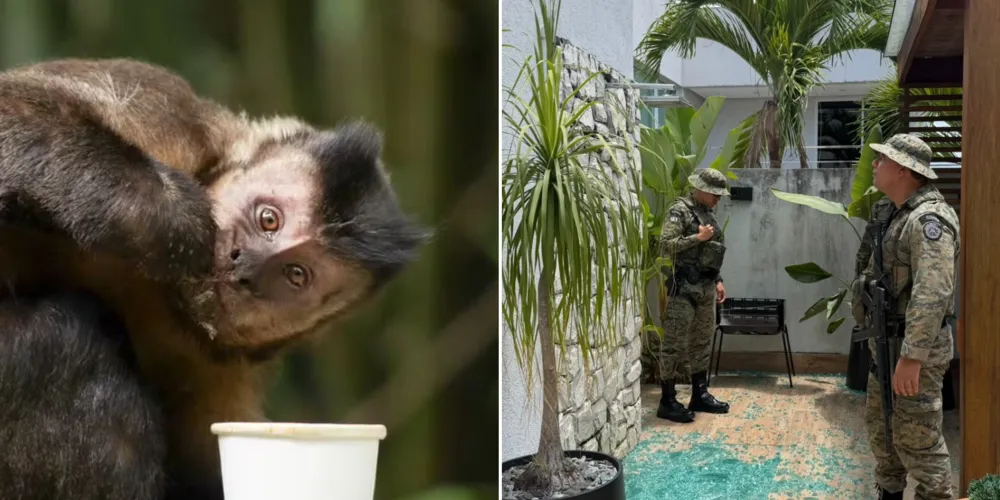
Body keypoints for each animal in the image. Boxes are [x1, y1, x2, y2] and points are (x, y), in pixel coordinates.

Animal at [0, 58, 429, 498]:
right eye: (268, 219)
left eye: (296, 275)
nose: (246, 266)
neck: (169, 298)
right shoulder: (173, 120)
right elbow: (12, 109)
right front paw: (176, 220)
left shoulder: (228, 375)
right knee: (66, 339)